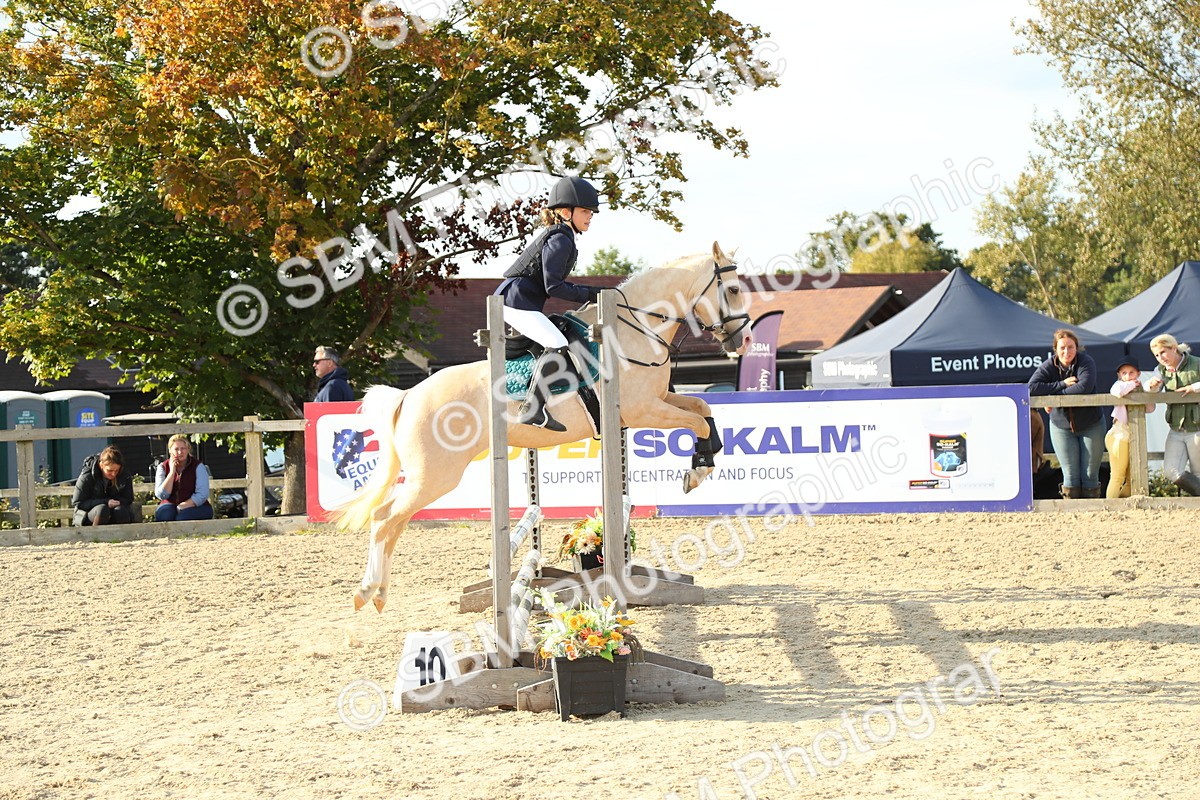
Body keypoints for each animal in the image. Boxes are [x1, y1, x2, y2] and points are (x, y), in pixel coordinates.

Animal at [336, 242, 753, 611]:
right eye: (732, 289)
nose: (745, 341)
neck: (635, 330)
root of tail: (409, 396)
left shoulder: (656, 402)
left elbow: (702, 408)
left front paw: (703, 463)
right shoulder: (642, 411)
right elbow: (697, 422)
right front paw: (697, 472)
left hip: (429, 476)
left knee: (392, 520)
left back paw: (379, 594)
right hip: (435, 475)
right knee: (385, 519)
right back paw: (367, 592)